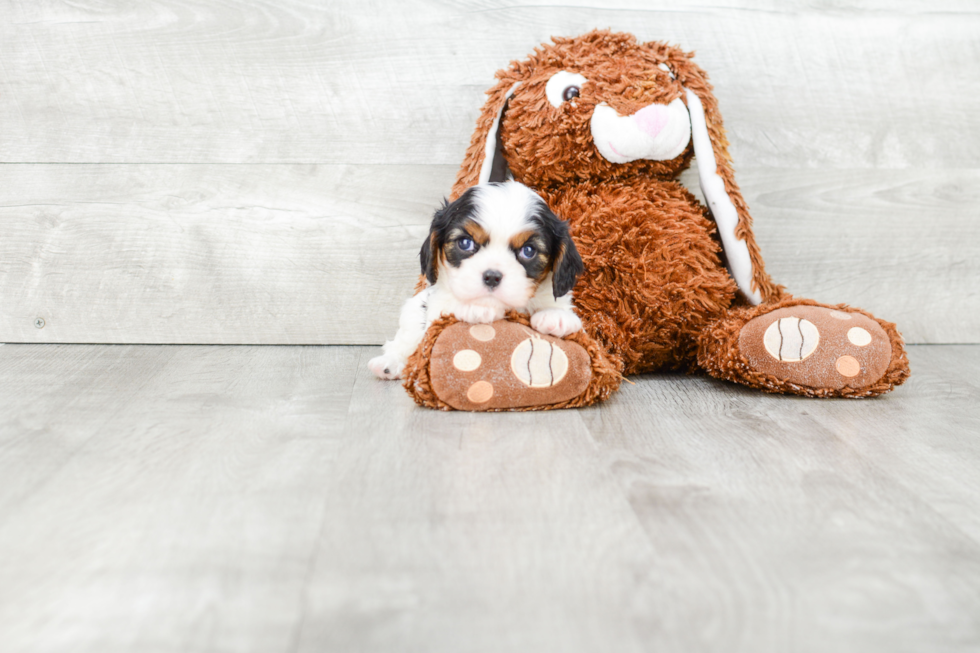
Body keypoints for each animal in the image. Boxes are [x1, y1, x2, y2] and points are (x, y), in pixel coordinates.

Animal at [368, 181, 580, 380]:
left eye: (528, 251)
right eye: (465, 243)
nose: (492, 276)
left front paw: (556, 316)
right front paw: (476, 308)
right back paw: (390, 364)